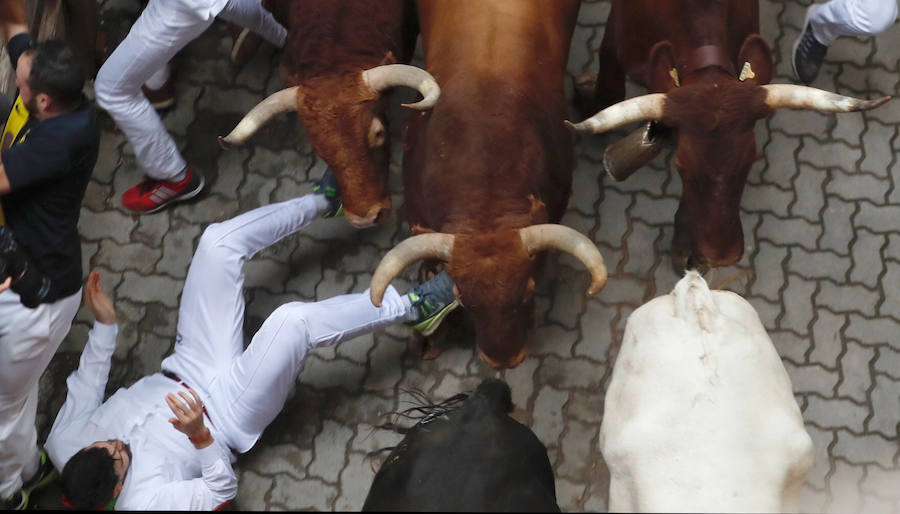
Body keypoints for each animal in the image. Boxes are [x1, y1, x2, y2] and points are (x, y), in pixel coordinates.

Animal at [568, 0, 884, 270]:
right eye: (681, 167)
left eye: (751, 160)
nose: (721, 257)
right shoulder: (616, 37)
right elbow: (610, 87)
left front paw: (685, 248)